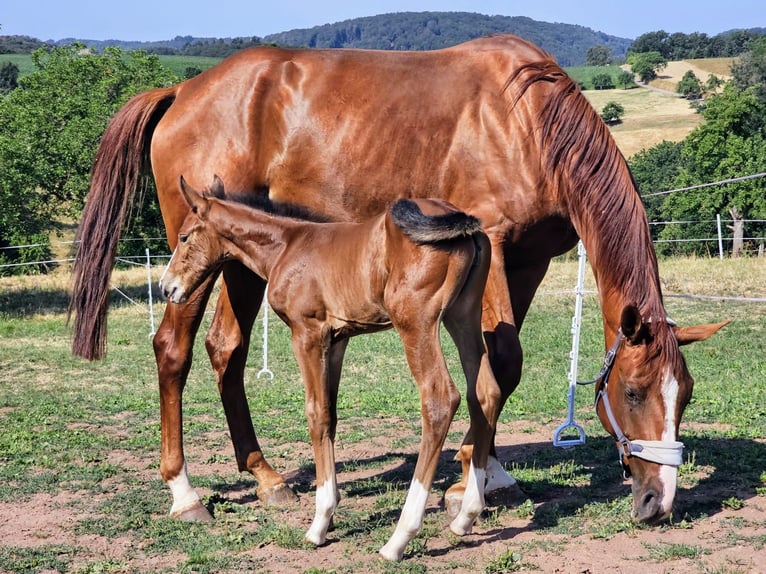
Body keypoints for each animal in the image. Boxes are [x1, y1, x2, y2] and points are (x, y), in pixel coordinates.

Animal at [159, 178, 500, 564]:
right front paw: (332, 508)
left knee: (440, 398)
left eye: (185, 236)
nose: (167, 287)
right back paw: (467, 515)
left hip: (416, 322)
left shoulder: (307, 333)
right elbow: (332, 413)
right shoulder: (337, 339)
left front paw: (319, 522)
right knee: (485, 393)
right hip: (463, 315)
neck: (288, 246)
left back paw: (398, 539)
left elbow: (316, 412)